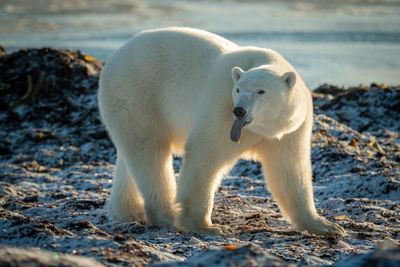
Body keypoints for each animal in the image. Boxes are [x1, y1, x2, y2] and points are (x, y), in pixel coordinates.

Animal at [98, 26, 346, 237]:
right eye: (238, 89)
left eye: (261, 91)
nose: (239, 110)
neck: (262, 127)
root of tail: (113, 60)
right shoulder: (220, 104)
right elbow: (205, 152)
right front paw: (207, 226)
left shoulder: (288, 131)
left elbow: (289, 170)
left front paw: (325, 225)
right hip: (139, 93)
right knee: (150, 151)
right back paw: (165, 215)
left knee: (132, 154)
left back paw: (129, 211)